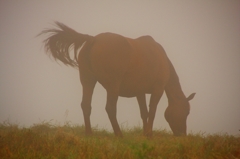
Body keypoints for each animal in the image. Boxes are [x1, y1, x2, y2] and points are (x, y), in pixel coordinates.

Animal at [39, 21, 195, 137]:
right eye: (186, 112)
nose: (182, 134)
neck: (160, 57)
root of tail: (93, 39)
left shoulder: (140, 93)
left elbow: (144, 112)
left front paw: (145, 133)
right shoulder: (158, 90)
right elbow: (152, 111)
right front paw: (149, 133)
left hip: (88, 81)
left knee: (86, 105)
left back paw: (89, 133)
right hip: (112, 85)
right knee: (110, 108)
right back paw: (119, 134)